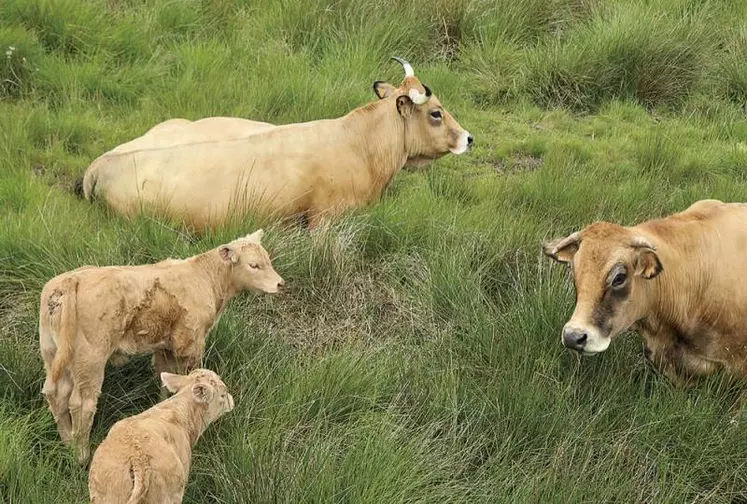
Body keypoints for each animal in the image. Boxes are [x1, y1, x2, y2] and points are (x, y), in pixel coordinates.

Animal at [39, 230, 284, 462]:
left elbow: (164, 379)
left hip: (54, 354)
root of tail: (71, 280)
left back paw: (67, 442)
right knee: (81, 404)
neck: (206, 278)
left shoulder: (164, 347)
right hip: (90, 359)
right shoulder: (191, 344)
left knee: (55, 394)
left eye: (267, 260)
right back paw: (82, 455)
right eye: (254, 265)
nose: (280, 284)